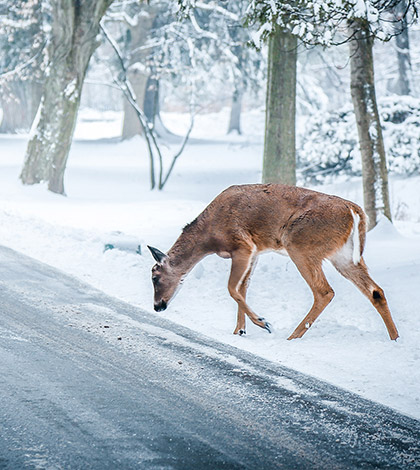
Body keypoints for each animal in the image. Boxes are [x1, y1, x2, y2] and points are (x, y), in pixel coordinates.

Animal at [148, 184, 400, 342]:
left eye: (155, 277)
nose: (157, 306)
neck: (209, 237)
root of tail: (354, 211)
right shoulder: (256, 252)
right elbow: (242, 288)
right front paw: (240, 331)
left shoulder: (243, 245)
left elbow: (232, 288)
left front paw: (262, 322)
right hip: (343, 256)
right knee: (376, 291)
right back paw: (395, 338)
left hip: (300, 244)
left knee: (324, 291)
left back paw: (292, 336)